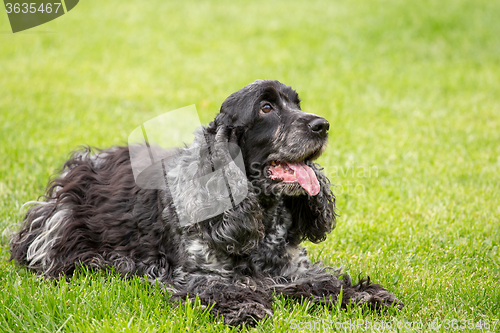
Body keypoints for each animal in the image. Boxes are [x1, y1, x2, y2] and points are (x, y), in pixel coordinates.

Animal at [9, 80, 404, 324]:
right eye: (266, 108)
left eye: (297, 104)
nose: (322, 125)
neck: (262, 218)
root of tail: (83, 163)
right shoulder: (195, 275)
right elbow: (225, 289)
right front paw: (247, 310)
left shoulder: (294, 268)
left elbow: (326, 281)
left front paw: (370, 297)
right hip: (60, 229)